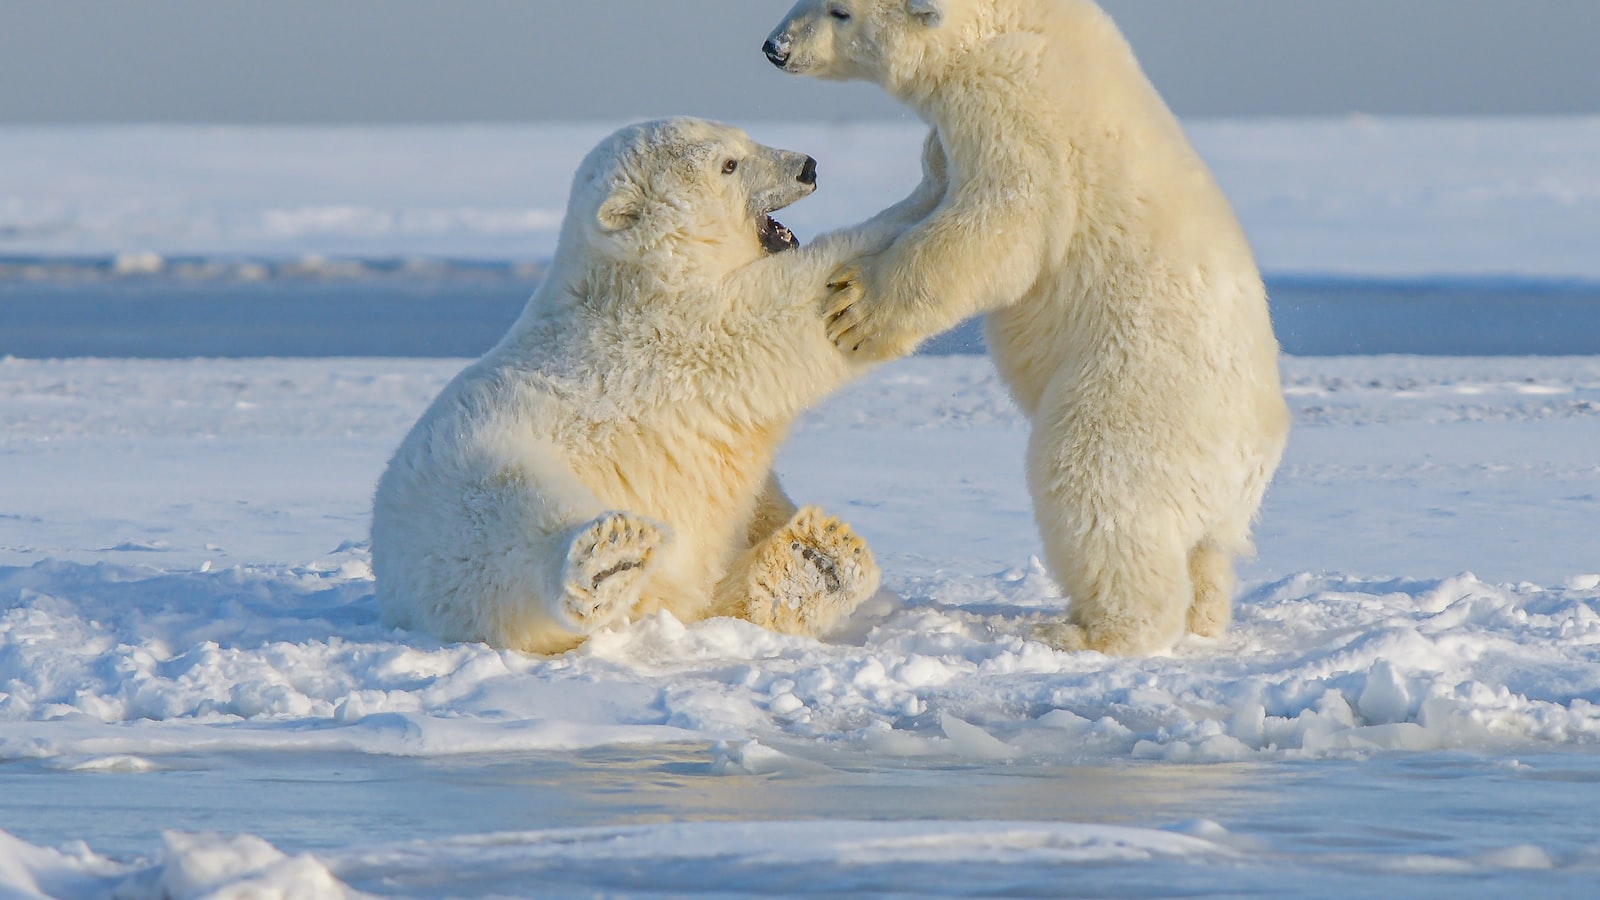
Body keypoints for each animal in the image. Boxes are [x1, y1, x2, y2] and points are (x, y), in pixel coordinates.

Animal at [371, 119, 934, 650]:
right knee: (512, 520)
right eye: (729, 164)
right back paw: (609, 560)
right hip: (472, 478)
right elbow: (787, 309)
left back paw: (819, 557)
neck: (634, 276)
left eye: (744, 137)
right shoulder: (676, 332)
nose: (807, 166)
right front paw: (931, 192)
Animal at [761, 1, 1286, 659]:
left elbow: (998, 222)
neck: (1007, 25)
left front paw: (855, 307)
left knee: (1095, 486)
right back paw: (1202, 616)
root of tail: (1254, 456)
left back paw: (1088, 631)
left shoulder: (1019, 117)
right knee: (1206, 549)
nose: (775, 47)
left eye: (840, 12)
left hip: (1138, 394)